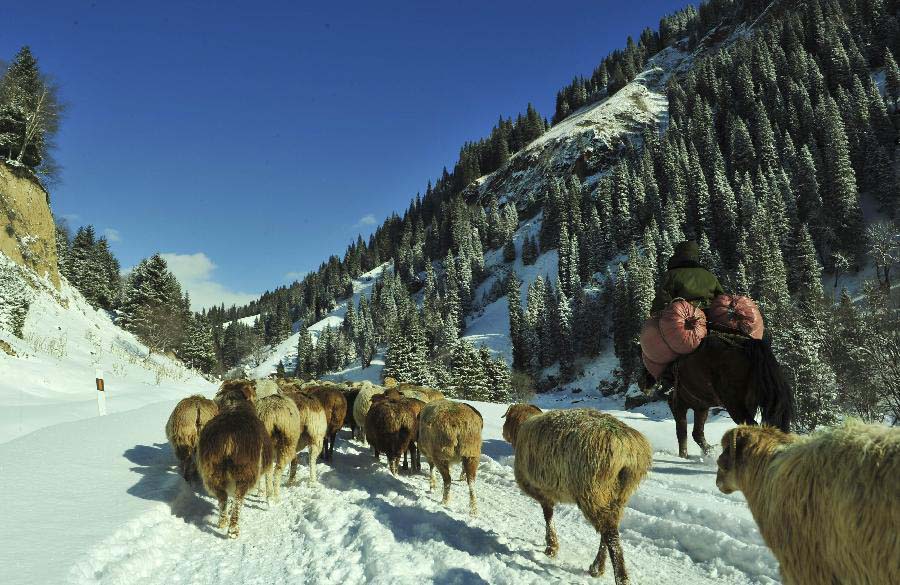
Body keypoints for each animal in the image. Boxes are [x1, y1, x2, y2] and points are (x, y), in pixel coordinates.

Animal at [200, 402, 274, 540]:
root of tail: (228, 436)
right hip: (244, 472)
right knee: (238, 499)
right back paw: (233, 530)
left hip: (213, 473)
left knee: (223, 497)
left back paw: (223, 522)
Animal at [502, 404, 652, 580]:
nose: (503, 433)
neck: (522, 426)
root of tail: (628, 448)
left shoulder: (542, 490)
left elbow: (548, 516)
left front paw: (551, 547)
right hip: (618, 494)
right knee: (608, 529)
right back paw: (597, 567)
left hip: (593, 490)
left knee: (611, 535)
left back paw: (620, 577)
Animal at [664, 328, 792, 456]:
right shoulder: (701, 406)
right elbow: (696, 433)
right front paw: (709, 452)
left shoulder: (677, 403)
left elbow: (682, 433)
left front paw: (683, 456)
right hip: (748, 405)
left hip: (734, 404)